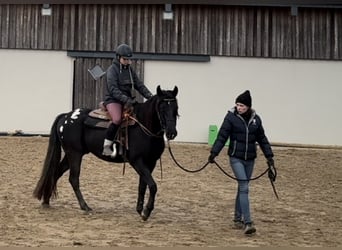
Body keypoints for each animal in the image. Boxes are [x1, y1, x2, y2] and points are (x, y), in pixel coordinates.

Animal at [33, 85, 179, 221]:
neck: (144, 126)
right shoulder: (137, 161)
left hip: (71, 155)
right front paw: (147, 211)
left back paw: (46, 201)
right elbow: (153, 186)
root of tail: (65, 116)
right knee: (73, 179)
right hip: (74, 153)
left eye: (176, 108)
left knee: (56, 172)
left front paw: (140, 210)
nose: (171, 133)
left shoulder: (151, 162)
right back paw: (85, 206)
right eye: (161, 108)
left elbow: (143, 185)